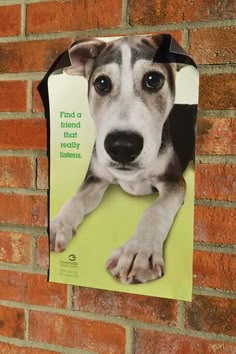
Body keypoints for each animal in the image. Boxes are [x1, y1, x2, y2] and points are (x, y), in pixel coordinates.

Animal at [49, 34, 197, 284]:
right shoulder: (96, 178)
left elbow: (155, 210)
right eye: (101, 83)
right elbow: (76, 200)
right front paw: (58, 225)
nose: (122, 147)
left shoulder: (174, 180)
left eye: (153, 80)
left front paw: (138, 252)